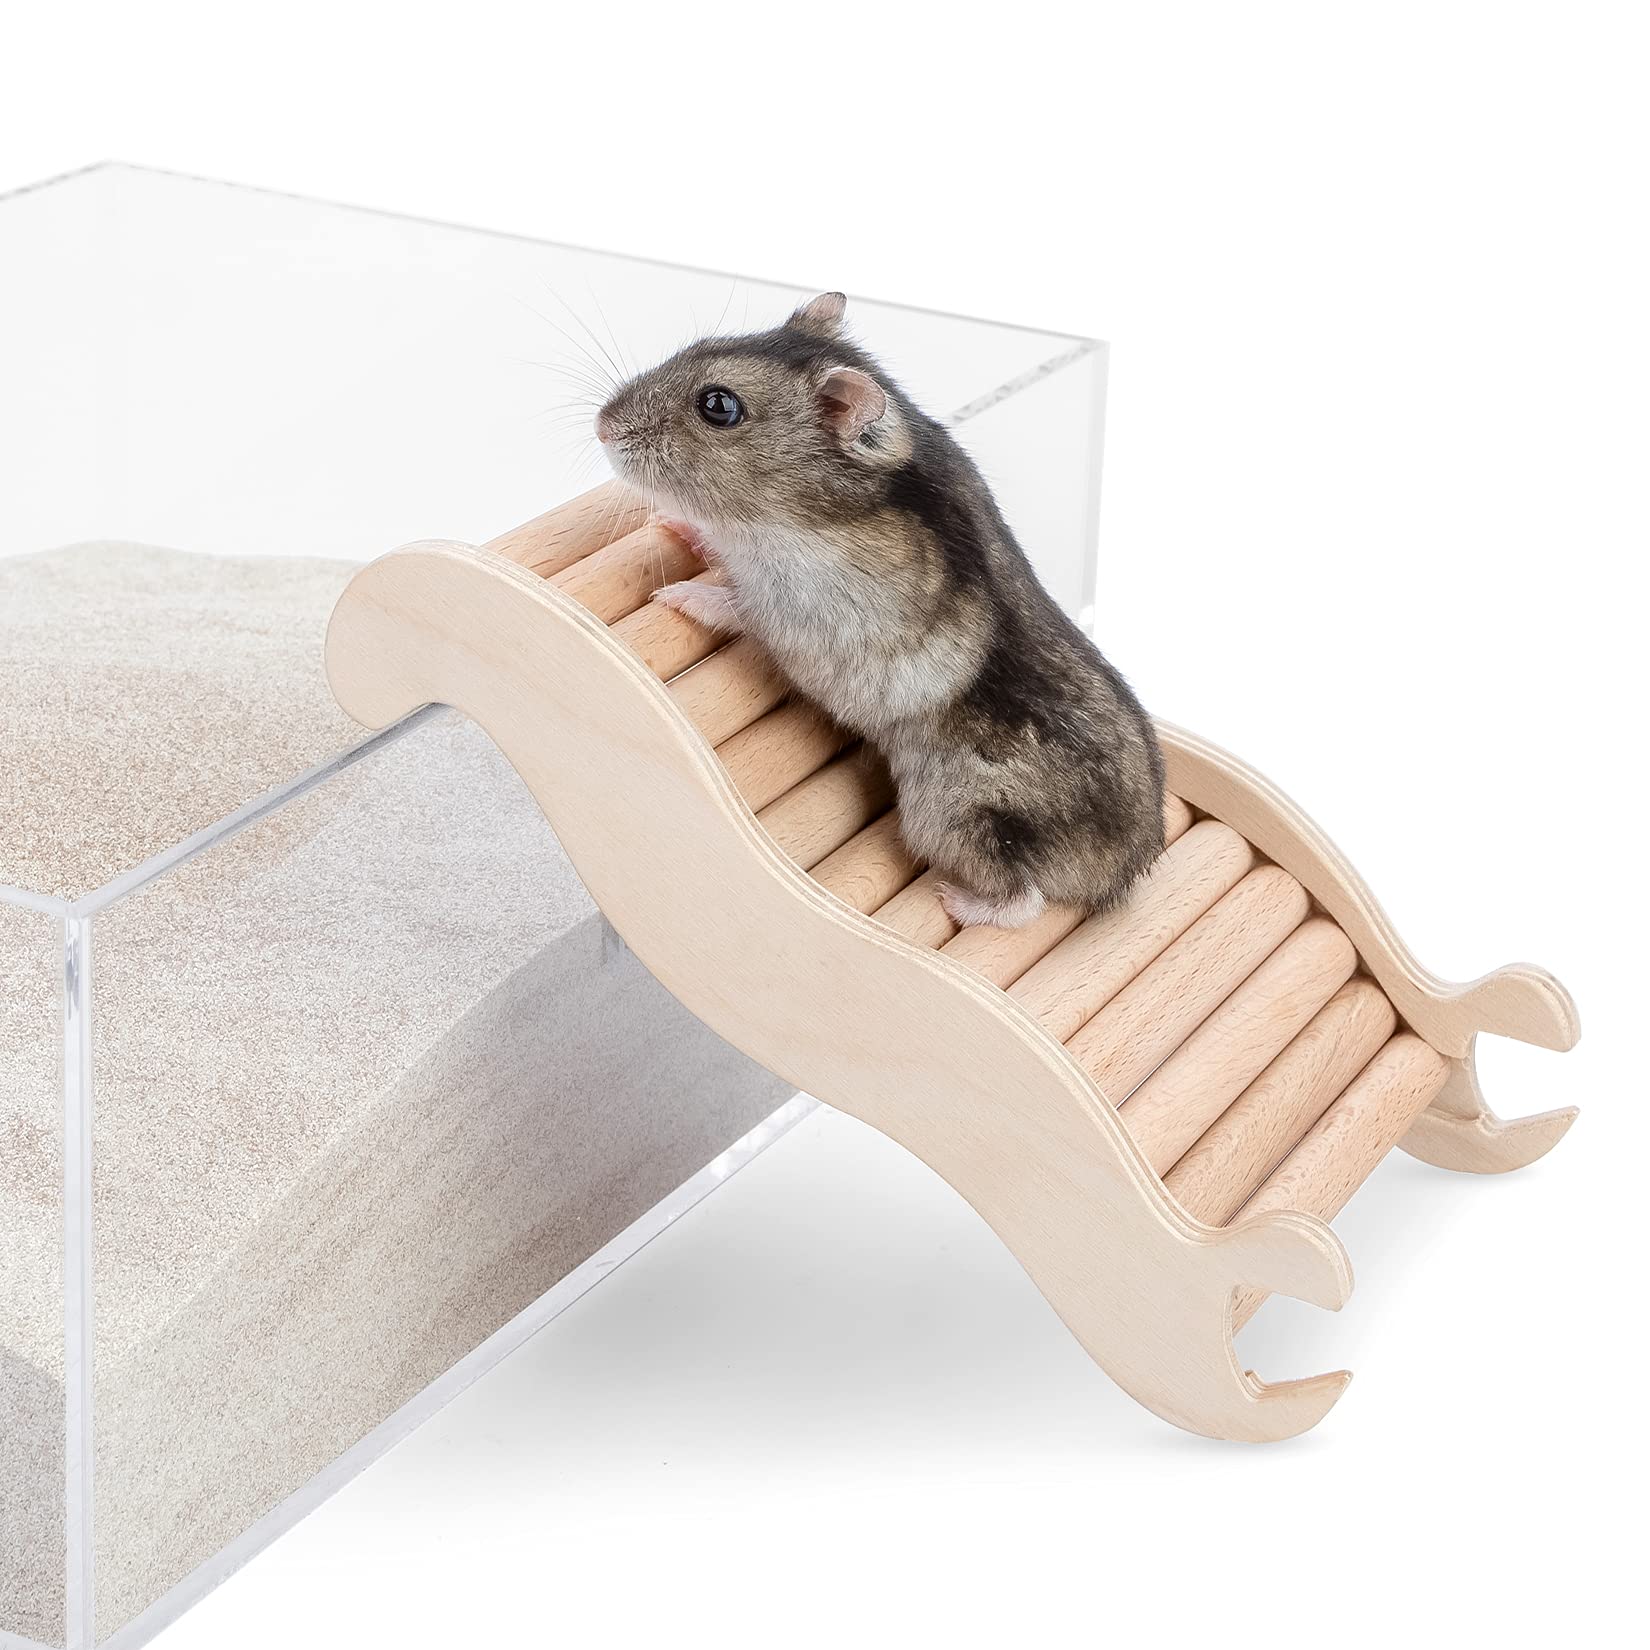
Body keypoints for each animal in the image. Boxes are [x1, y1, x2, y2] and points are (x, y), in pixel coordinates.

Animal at [594, 291, 1165, 929]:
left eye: (718, 406)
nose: (600, 424)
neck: (793, 513)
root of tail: (1122, 875)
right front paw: (674, 526)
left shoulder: (802, 612)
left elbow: (739, 606)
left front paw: (673, 596)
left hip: (954, 814)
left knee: (1025, 900)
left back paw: (954, 899)